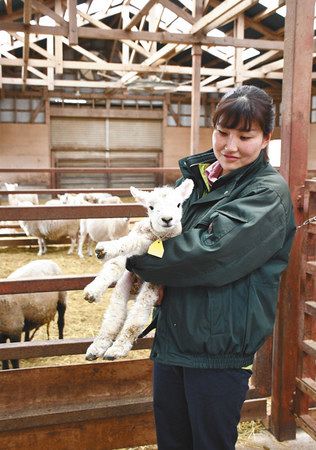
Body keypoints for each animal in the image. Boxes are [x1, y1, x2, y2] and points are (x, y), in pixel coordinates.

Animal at [82, 178, 194, 360]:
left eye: (178, 204)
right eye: (151, 207)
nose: (167, 219)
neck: (157, 236)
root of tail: (135, 289)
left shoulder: (153, 251)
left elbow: (133, 242)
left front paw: (106, 249)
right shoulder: (133, 249)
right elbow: (115, 262)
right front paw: (94, 285)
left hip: (150, 288)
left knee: (135, 318)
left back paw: (116, 349)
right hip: (123, 286)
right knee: (114, 315)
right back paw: (97, 347)